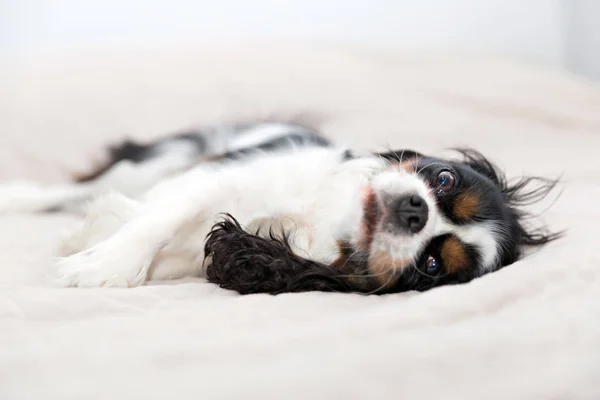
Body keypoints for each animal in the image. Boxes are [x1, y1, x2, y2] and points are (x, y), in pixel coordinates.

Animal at [0, 122, 560, 294]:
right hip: (161, 158)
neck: (325, 215)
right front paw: (106, 262)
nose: (415, 212)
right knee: (74, 190)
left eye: (431, 264)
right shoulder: (218, 176)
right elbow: (160, 220)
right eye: (444, 179)